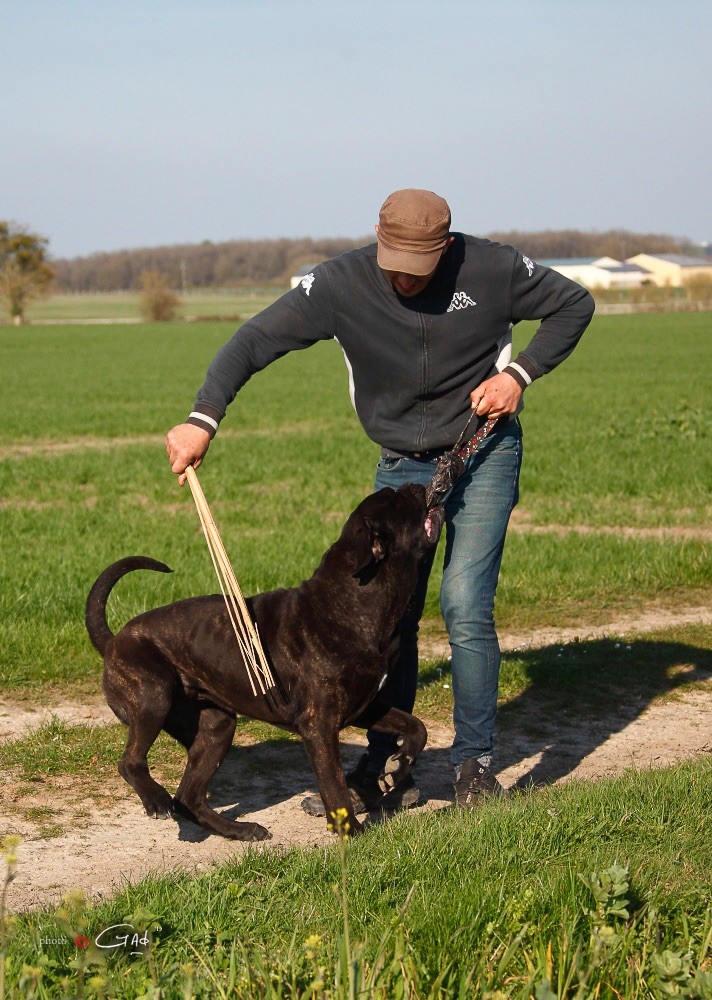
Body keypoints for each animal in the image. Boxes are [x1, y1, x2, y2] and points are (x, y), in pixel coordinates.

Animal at [86, 482, 442, 836]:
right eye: (397, 499)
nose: (416, 484)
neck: (353, 605)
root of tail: (114, 639)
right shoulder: (319, 724)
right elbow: (334, 786)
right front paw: (353, 833)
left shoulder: (364, 706)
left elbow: (416, 726)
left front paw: (399, 765)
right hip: (153, 696)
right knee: (131, 762)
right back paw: (158, 801)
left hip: (216, 728)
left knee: (188, 797)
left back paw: (240, 830)